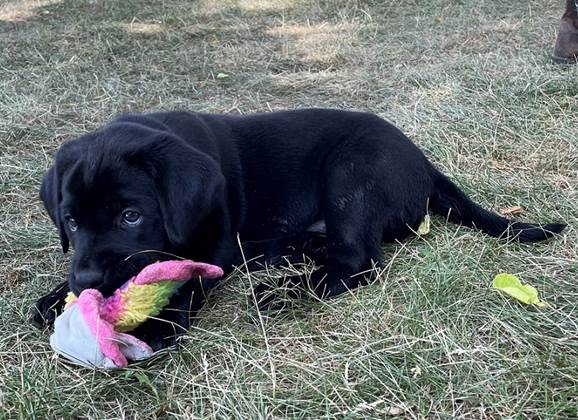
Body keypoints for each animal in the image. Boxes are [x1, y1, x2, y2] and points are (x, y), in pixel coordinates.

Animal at [31, 108, 564, 348]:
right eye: (71, 221)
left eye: (131, 216)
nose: (88, 282)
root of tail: (425, 165)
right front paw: (55, 296)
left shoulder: (217, 242)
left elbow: (189, 273)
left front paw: (159, 322)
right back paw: (288, 254)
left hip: (351, 170)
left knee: (359, 261)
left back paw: (283, 291)